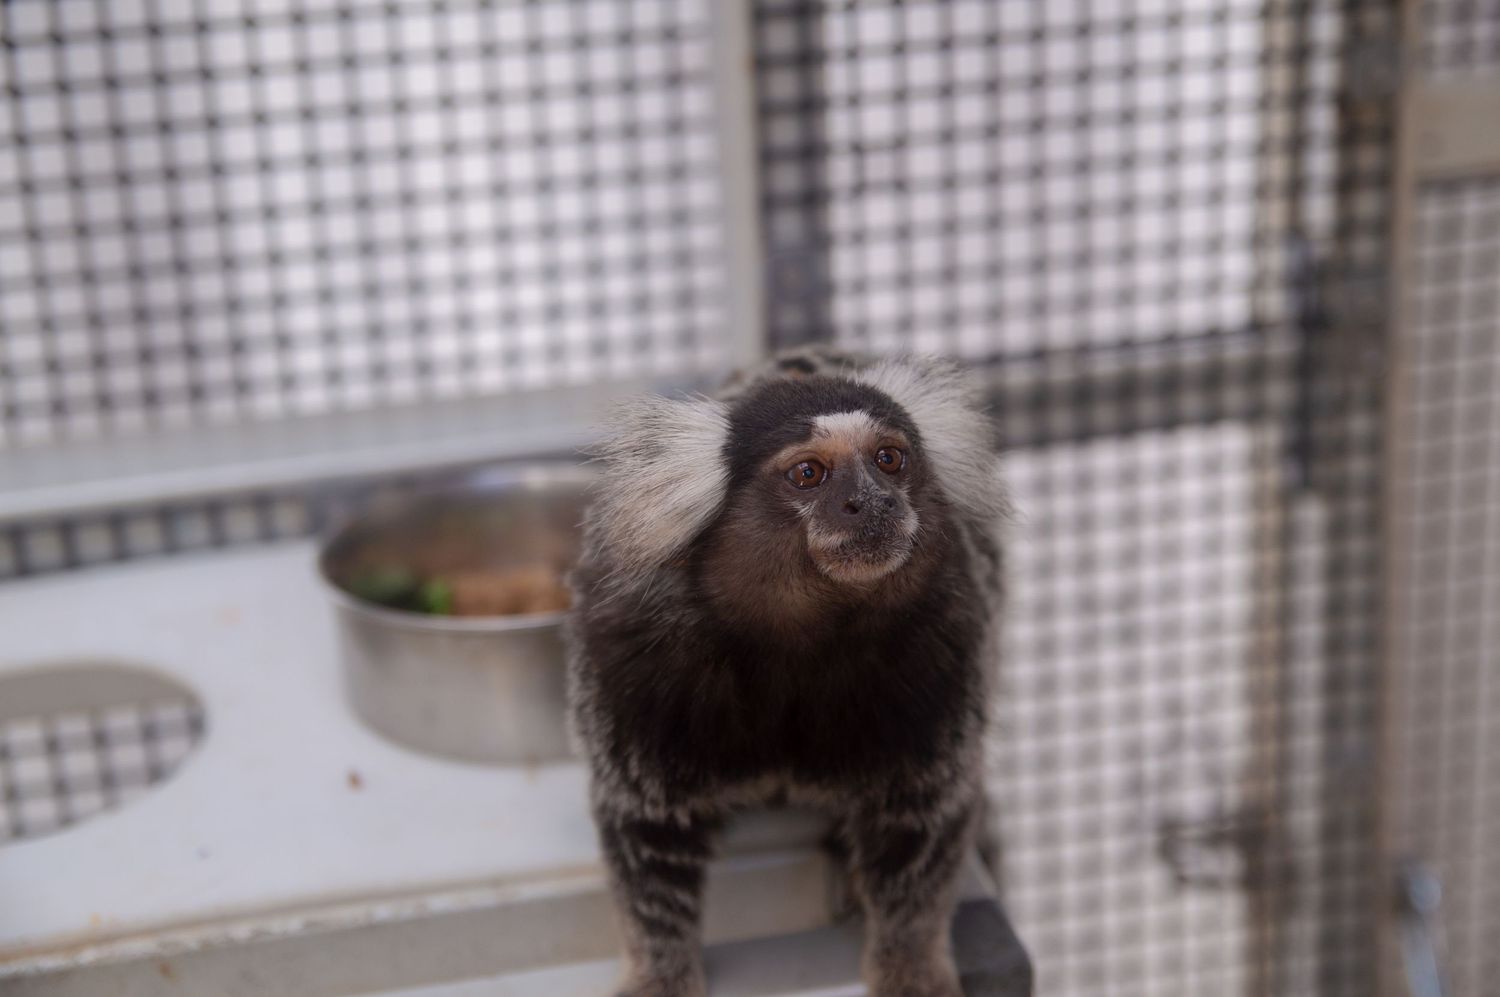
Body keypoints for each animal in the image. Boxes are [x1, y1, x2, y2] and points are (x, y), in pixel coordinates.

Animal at [565, 350, 1007, 997]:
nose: (874, 502)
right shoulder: (632, 661)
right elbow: (648, 834)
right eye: (808, 474)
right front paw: (660, 973)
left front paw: (909, 966)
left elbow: (923, 823)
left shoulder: (947, 646)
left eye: (889, 459)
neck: (798, 644)